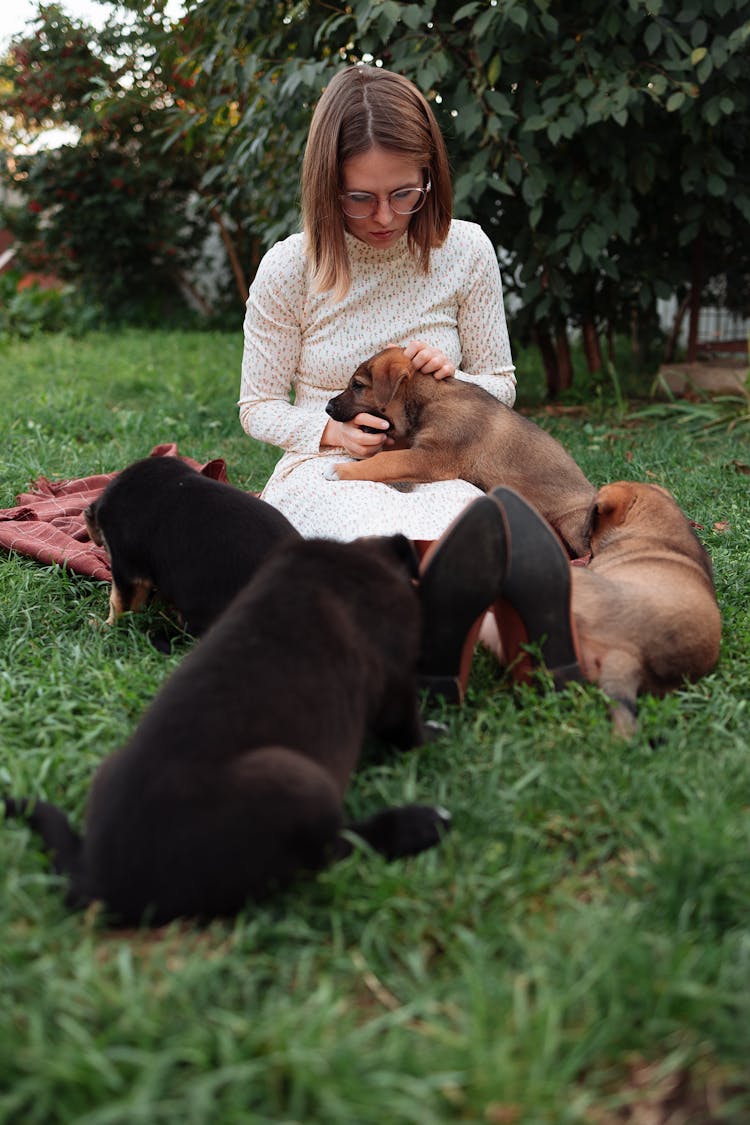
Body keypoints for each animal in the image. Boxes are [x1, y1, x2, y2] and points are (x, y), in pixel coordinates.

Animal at [4, 535, 452, 922]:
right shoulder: (396, 679)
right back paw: (419, 823)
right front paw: (432, 733)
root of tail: (96, 880)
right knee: (334, 850)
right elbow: (408, 730)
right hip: (300, 781)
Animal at [326, 342, 593, 553]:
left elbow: (387, 461)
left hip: (574, 523)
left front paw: (341, 470)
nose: (327, 408)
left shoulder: (433, 457)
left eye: (357, 386)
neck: (429, 398)